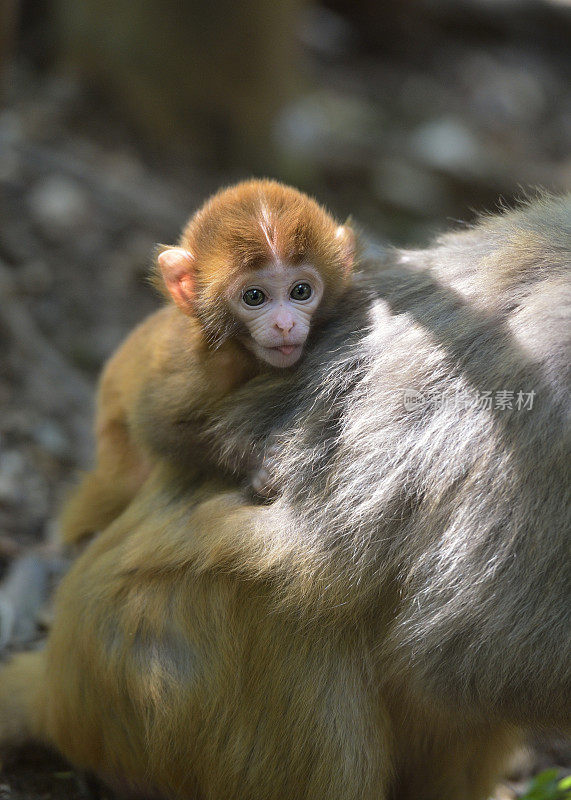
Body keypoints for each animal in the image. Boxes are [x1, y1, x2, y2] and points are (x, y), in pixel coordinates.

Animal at [60, 178, 356, 548]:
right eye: (254, 297)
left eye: (301, 291)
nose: (285, 324)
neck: (244, 351)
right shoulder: (203, 365)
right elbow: (157, 425)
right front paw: (254, 465)